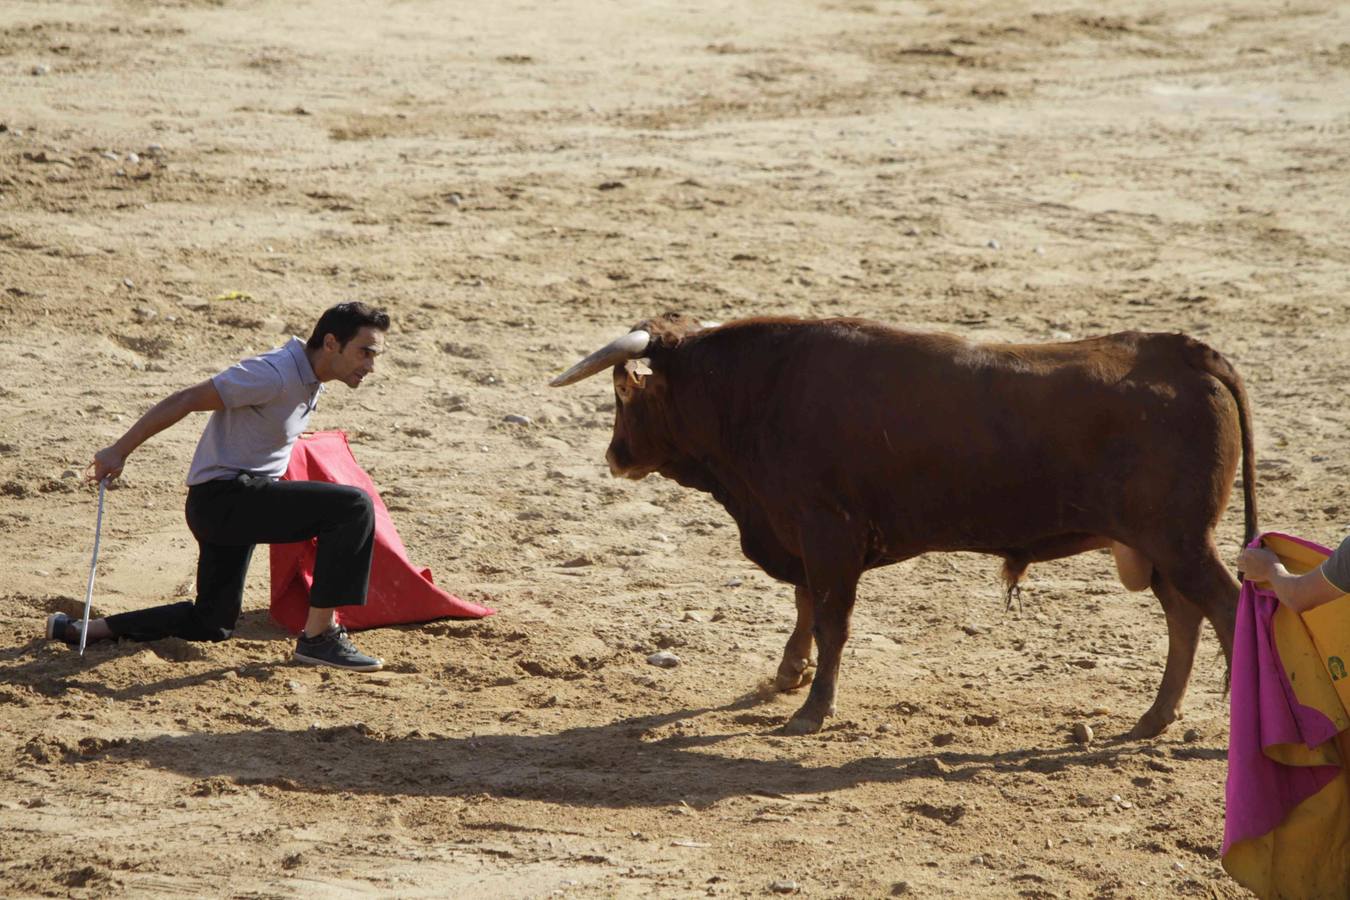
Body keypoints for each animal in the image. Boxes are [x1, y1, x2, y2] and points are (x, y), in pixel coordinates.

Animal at [548, 317, 1252, 739]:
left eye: (624, 396)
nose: (614, 456)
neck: (756, 391)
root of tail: (1184, 352)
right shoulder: (806, 535)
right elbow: (806, 604)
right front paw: (790, 673)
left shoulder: (828, 534)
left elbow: (831, 619)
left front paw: (812, 710)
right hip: (1158, 548)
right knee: (1184, 618)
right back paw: (1154, 718)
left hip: (1181, 543)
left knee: (1224, 607)